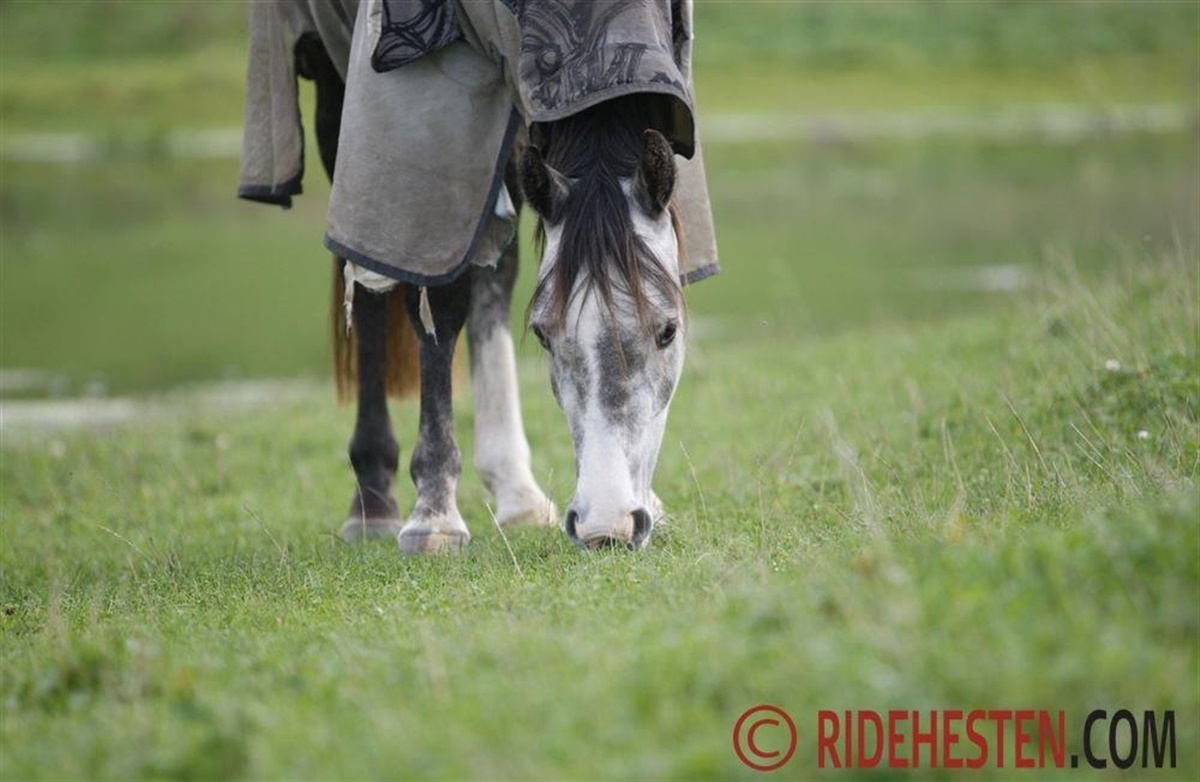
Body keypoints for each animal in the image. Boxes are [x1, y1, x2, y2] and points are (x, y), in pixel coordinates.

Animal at [238, 0, 719, 552]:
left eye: (668, 331)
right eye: (543, 335)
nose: (606, 527)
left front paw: (651, 503)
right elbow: (439, 298)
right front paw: (434, 516)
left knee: (493, 271)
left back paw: (517, 492)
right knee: (369, 271)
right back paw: (373, 501)